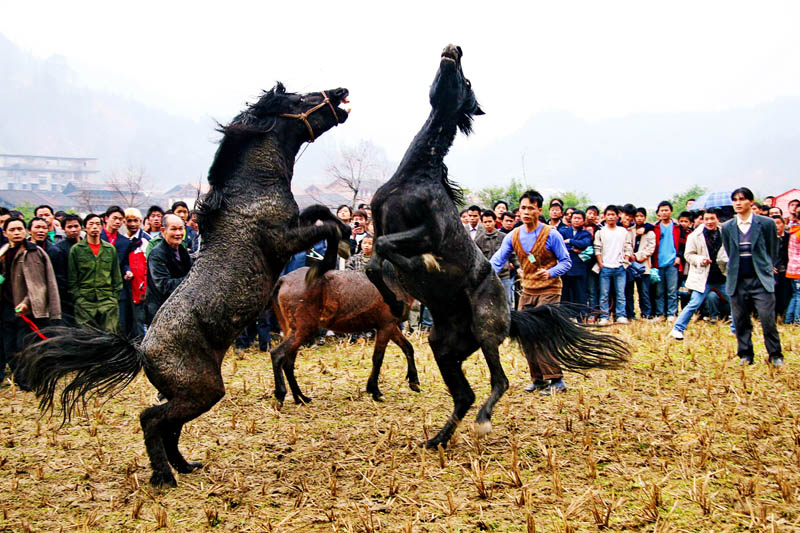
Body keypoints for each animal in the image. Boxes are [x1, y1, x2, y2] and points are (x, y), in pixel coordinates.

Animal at [18, 83, 350, 486]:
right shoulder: (281, 241)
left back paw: (184, 465)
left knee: (168, 427)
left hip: (185, 393)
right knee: (151, 420)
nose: (341, 92)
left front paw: (345, 236)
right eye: (300, 99)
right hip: (202, 391)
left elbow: (321, 211)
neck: (251, 192)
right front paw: (332, 256)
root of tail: (142, 350)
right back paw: (165, 476)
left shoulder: (293, 224)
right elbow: (325, 226)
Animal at [270, 266, 418, 404]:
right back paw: (282, 393)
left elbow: (408, 347)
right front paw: (375, 390)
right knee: (277, 354)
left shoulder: (391, 327)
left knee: (288, 363)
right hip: (303, 330)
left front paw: (414, 381)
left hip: (294, 331)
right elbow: (378, 358)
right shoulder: (386, 326)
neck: (391, 280)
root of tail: (284, 279)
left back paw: (301, 398)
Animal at [366, 43, 628, 446]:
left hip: (486, 329)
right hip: (444, 346)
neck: (415, 176)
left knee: (498, 381)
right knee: (465, 395)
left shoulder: (430, 231)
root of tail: (512, 314)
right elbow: (374, 261)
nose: (454, 49)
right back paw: (436, 440)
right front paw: (395, 300)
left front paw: (420, 270)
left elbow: (389, 248)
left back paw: (483, 421)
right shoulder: (379, 220)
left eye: (467, 81)